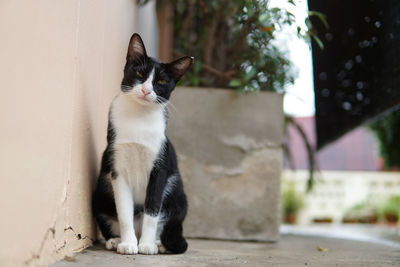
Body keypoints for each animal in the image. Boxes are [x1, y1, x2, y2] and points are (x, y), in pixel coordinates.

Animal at [93, 33, 193, 255]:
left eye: (162, 81)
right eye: (139, 72)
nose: (147, 90)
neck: (139, 116)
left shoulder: (160, 168)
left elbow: (152, 210)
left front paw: (146, 245)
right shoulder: (117, 169)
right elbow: (124, 212)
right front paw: (128, 244)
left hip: (178, 196)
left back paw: (158, 243)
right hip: (100, 192)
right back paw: (115, 240)